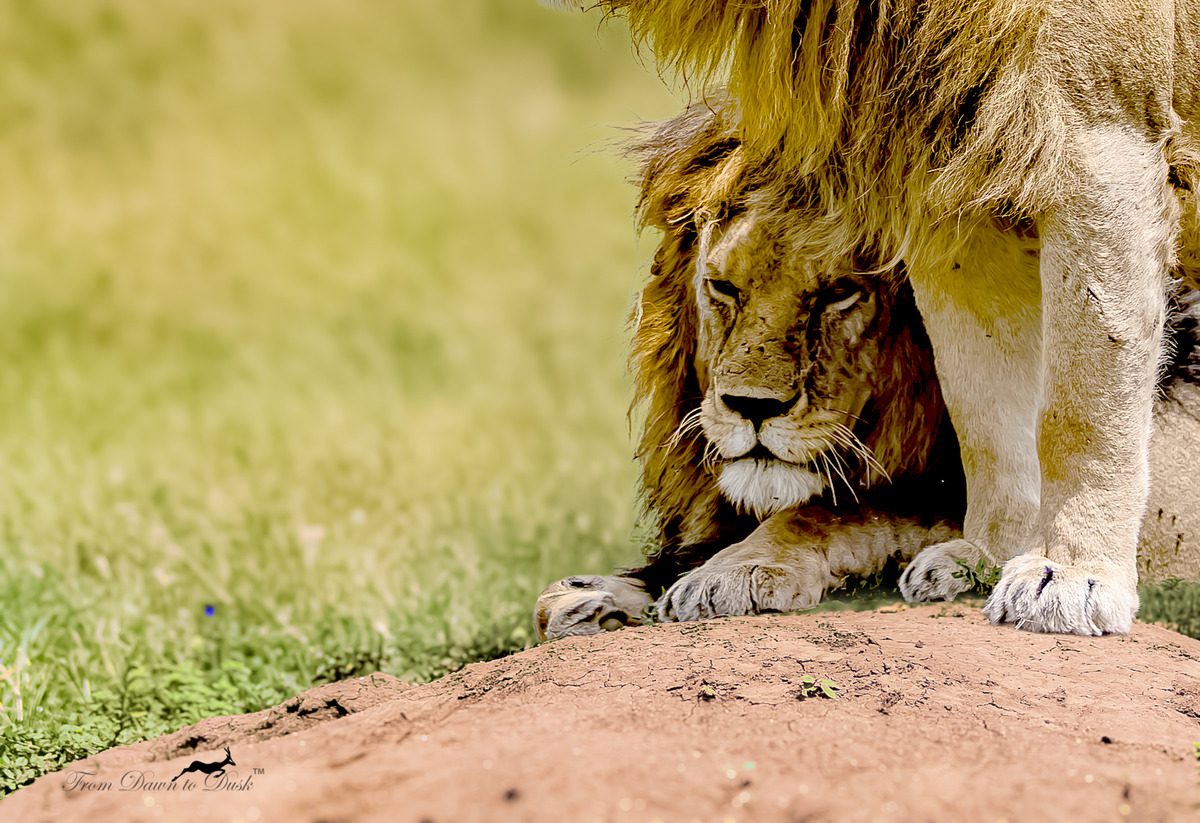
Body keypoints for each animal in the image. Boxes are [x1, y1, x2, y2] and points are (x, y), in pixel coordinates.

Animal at [541, 0, 1200, 636]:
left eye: (840, 293)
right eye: (723, 287)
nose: (751, 408)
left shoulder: (1100, 140)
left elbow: (842, 508)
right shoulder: (948, 177)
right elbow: (985, 414)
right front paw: (600, 592)